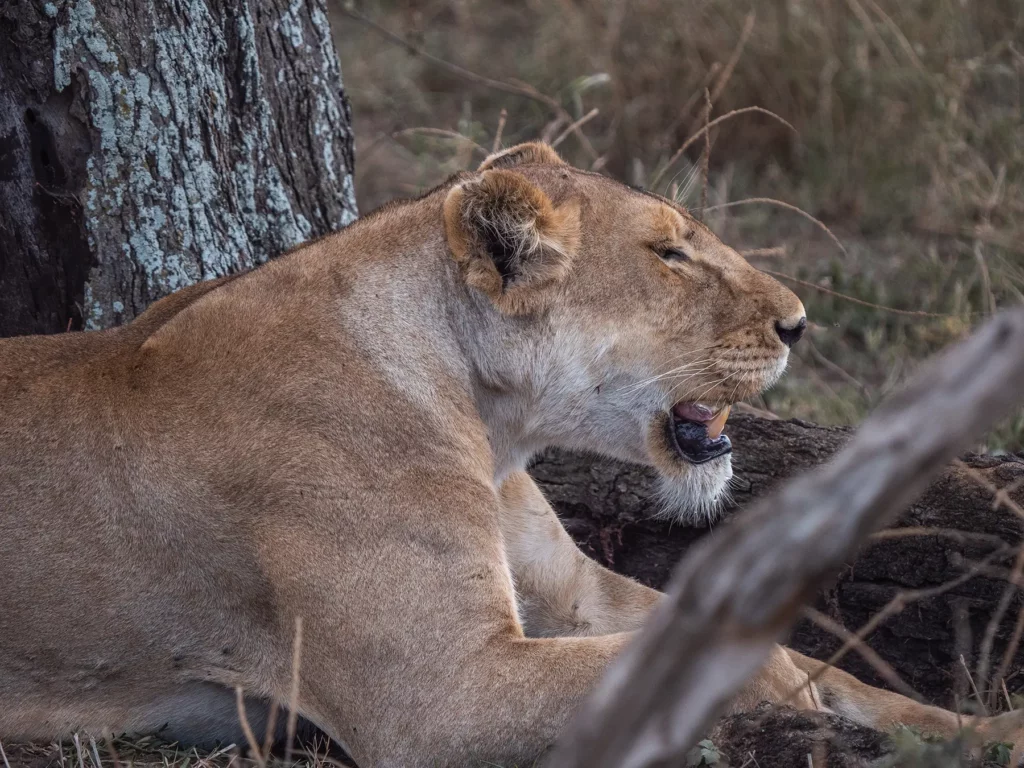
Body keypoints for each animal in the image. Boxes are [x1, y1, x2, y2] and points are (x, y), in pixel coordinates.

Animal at [0, 143, 1017, 767]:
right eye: (668, 255)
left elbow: (823, 667)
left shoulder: (575, 593)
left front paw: (982, 728)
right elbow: (735, 665)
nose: (800, 324)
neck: (490, 423)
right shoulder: (442, 696)